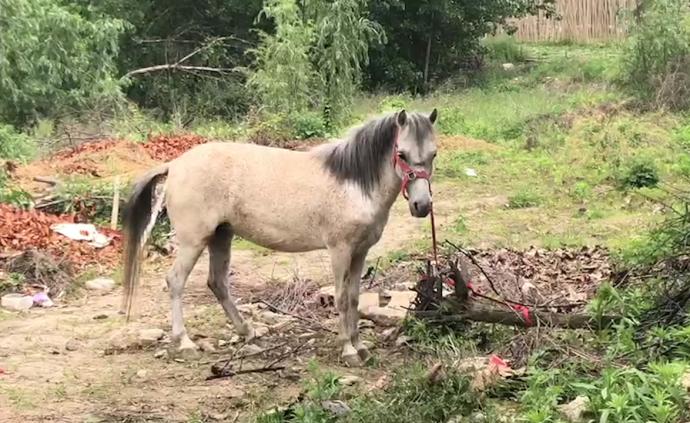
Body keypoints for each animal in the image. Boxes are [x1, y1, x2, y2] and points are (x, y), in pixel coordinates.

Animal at [121, 109, 438, 368]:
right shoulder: (340, 250)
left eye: (433, 154)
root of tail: (174, 165)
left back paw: (247, 331)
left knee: (217, 282)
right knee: (176, 281)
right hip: (193, 242)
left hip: (221, 236)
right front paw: (348, 350)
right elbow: (340, 299)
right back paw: (185, 342)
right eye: (402, 154)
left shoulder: (360, 252)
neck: (353, 183)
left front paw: (360, 347)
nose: (422, 206)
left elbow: (354, 299)